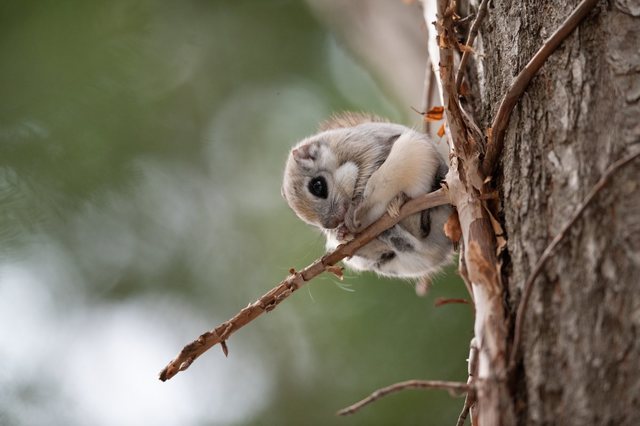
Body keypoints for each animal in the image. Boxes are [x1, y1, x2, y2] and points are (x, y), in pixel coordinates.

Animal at [282, 112, 452, 280]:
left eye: (317, 185)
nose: (332, 224)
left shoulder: (367, 149)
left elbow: (365, 181)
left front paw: (352, 214)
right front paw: (342, 232)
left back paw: (401, 202)